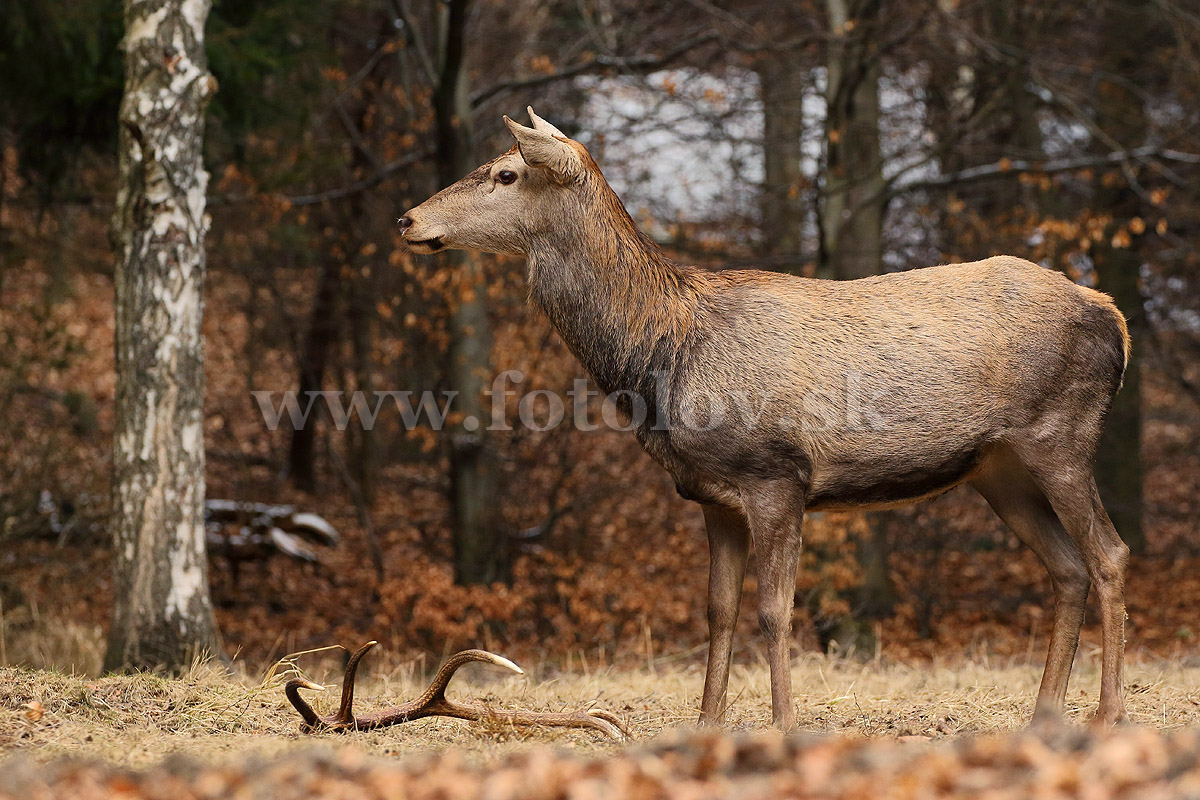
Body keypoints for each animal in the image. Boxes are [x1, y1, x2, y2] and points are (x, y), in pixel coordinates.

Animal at [396, 106, 1132, 734]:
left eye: (507, 172)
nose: (407, 218)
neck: (665, 352)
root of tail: (1113, 314)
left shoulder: (778, 475)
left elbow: (775, 611)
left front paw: (783, 724)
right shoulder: (711, 495)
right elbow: (718, 611)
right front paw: (707, 722)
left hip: (1061, 435)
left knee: (1109, 553)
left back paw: (1107, 713)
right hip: (997, 469)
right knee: (1068, 567)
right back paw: (1044, 714)